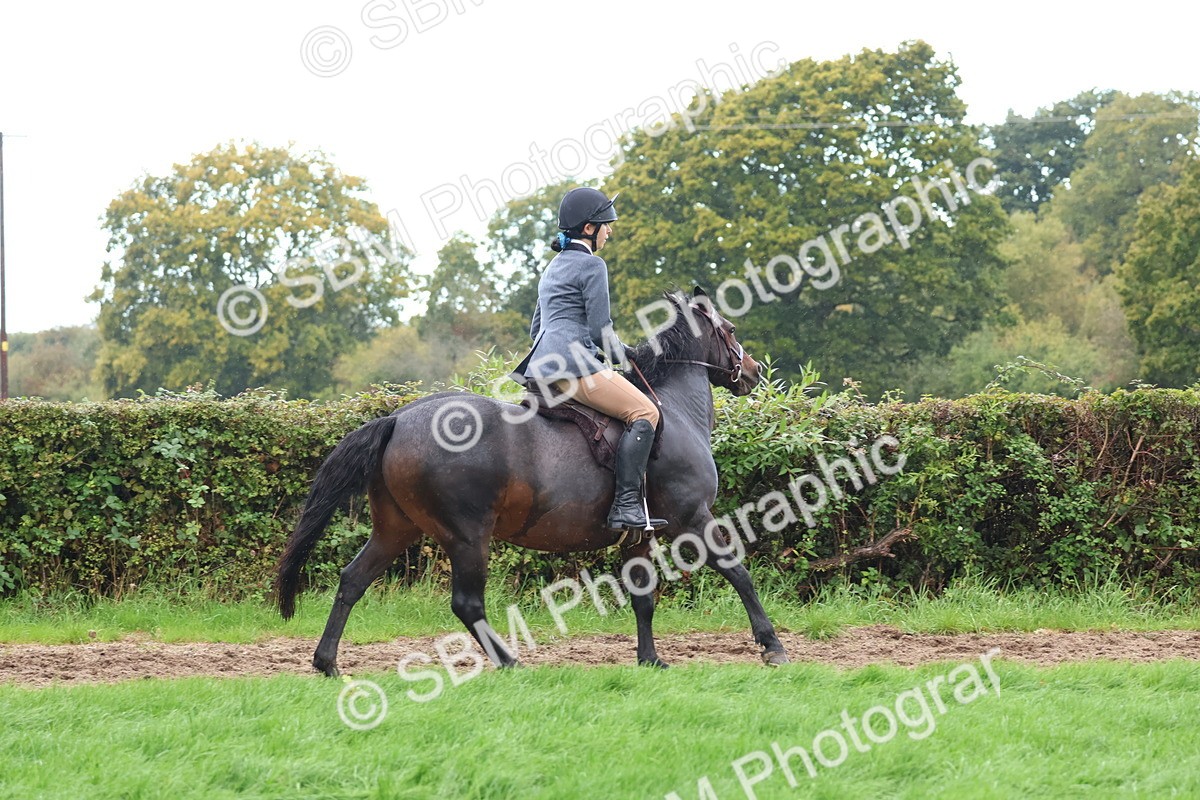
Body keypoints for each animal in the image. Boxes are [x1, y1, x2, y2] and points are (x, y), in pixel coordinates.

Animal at [276, 287, 789, 676]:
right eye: (731, 330)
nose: (753, 372)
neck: (674, 412)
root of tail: (399, 418)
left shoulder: (640, 534)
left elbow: (643, 596)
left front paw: (650, 660)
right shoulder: (692, 517)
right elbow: (737, 571)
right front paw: (771, 645)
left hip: (396, 528)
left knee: (352, 580)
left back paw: (327, 663)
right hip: (467, 535)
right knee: (466, 603)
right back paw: (509, 662)